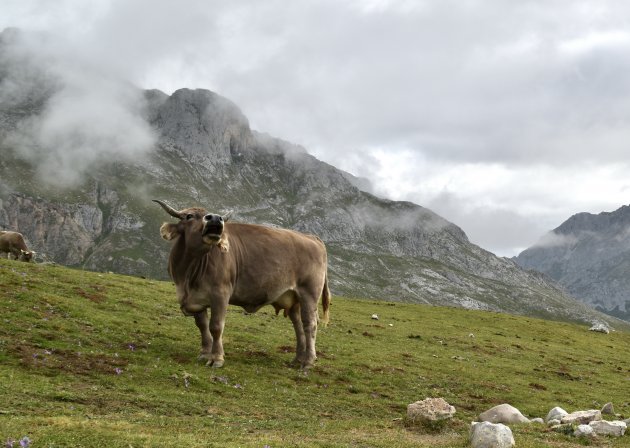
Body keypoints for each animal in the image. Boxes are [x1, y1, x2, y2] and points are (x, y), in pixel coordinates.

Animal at [154, 201, 330, 370]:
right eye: (189, 216)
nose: (215, 218)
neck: (187, 277)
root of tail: (311, 237)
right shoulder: (196, 299)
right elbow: (202, 325)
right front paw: (204, 353)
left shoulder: (221, 294)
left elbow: (215, 326)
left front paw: (216, 358)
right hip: (294, 300)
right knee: (298, 326)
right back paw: (297, 359)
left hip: (309, 294)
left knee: (310, 325)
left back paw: (308, 361)